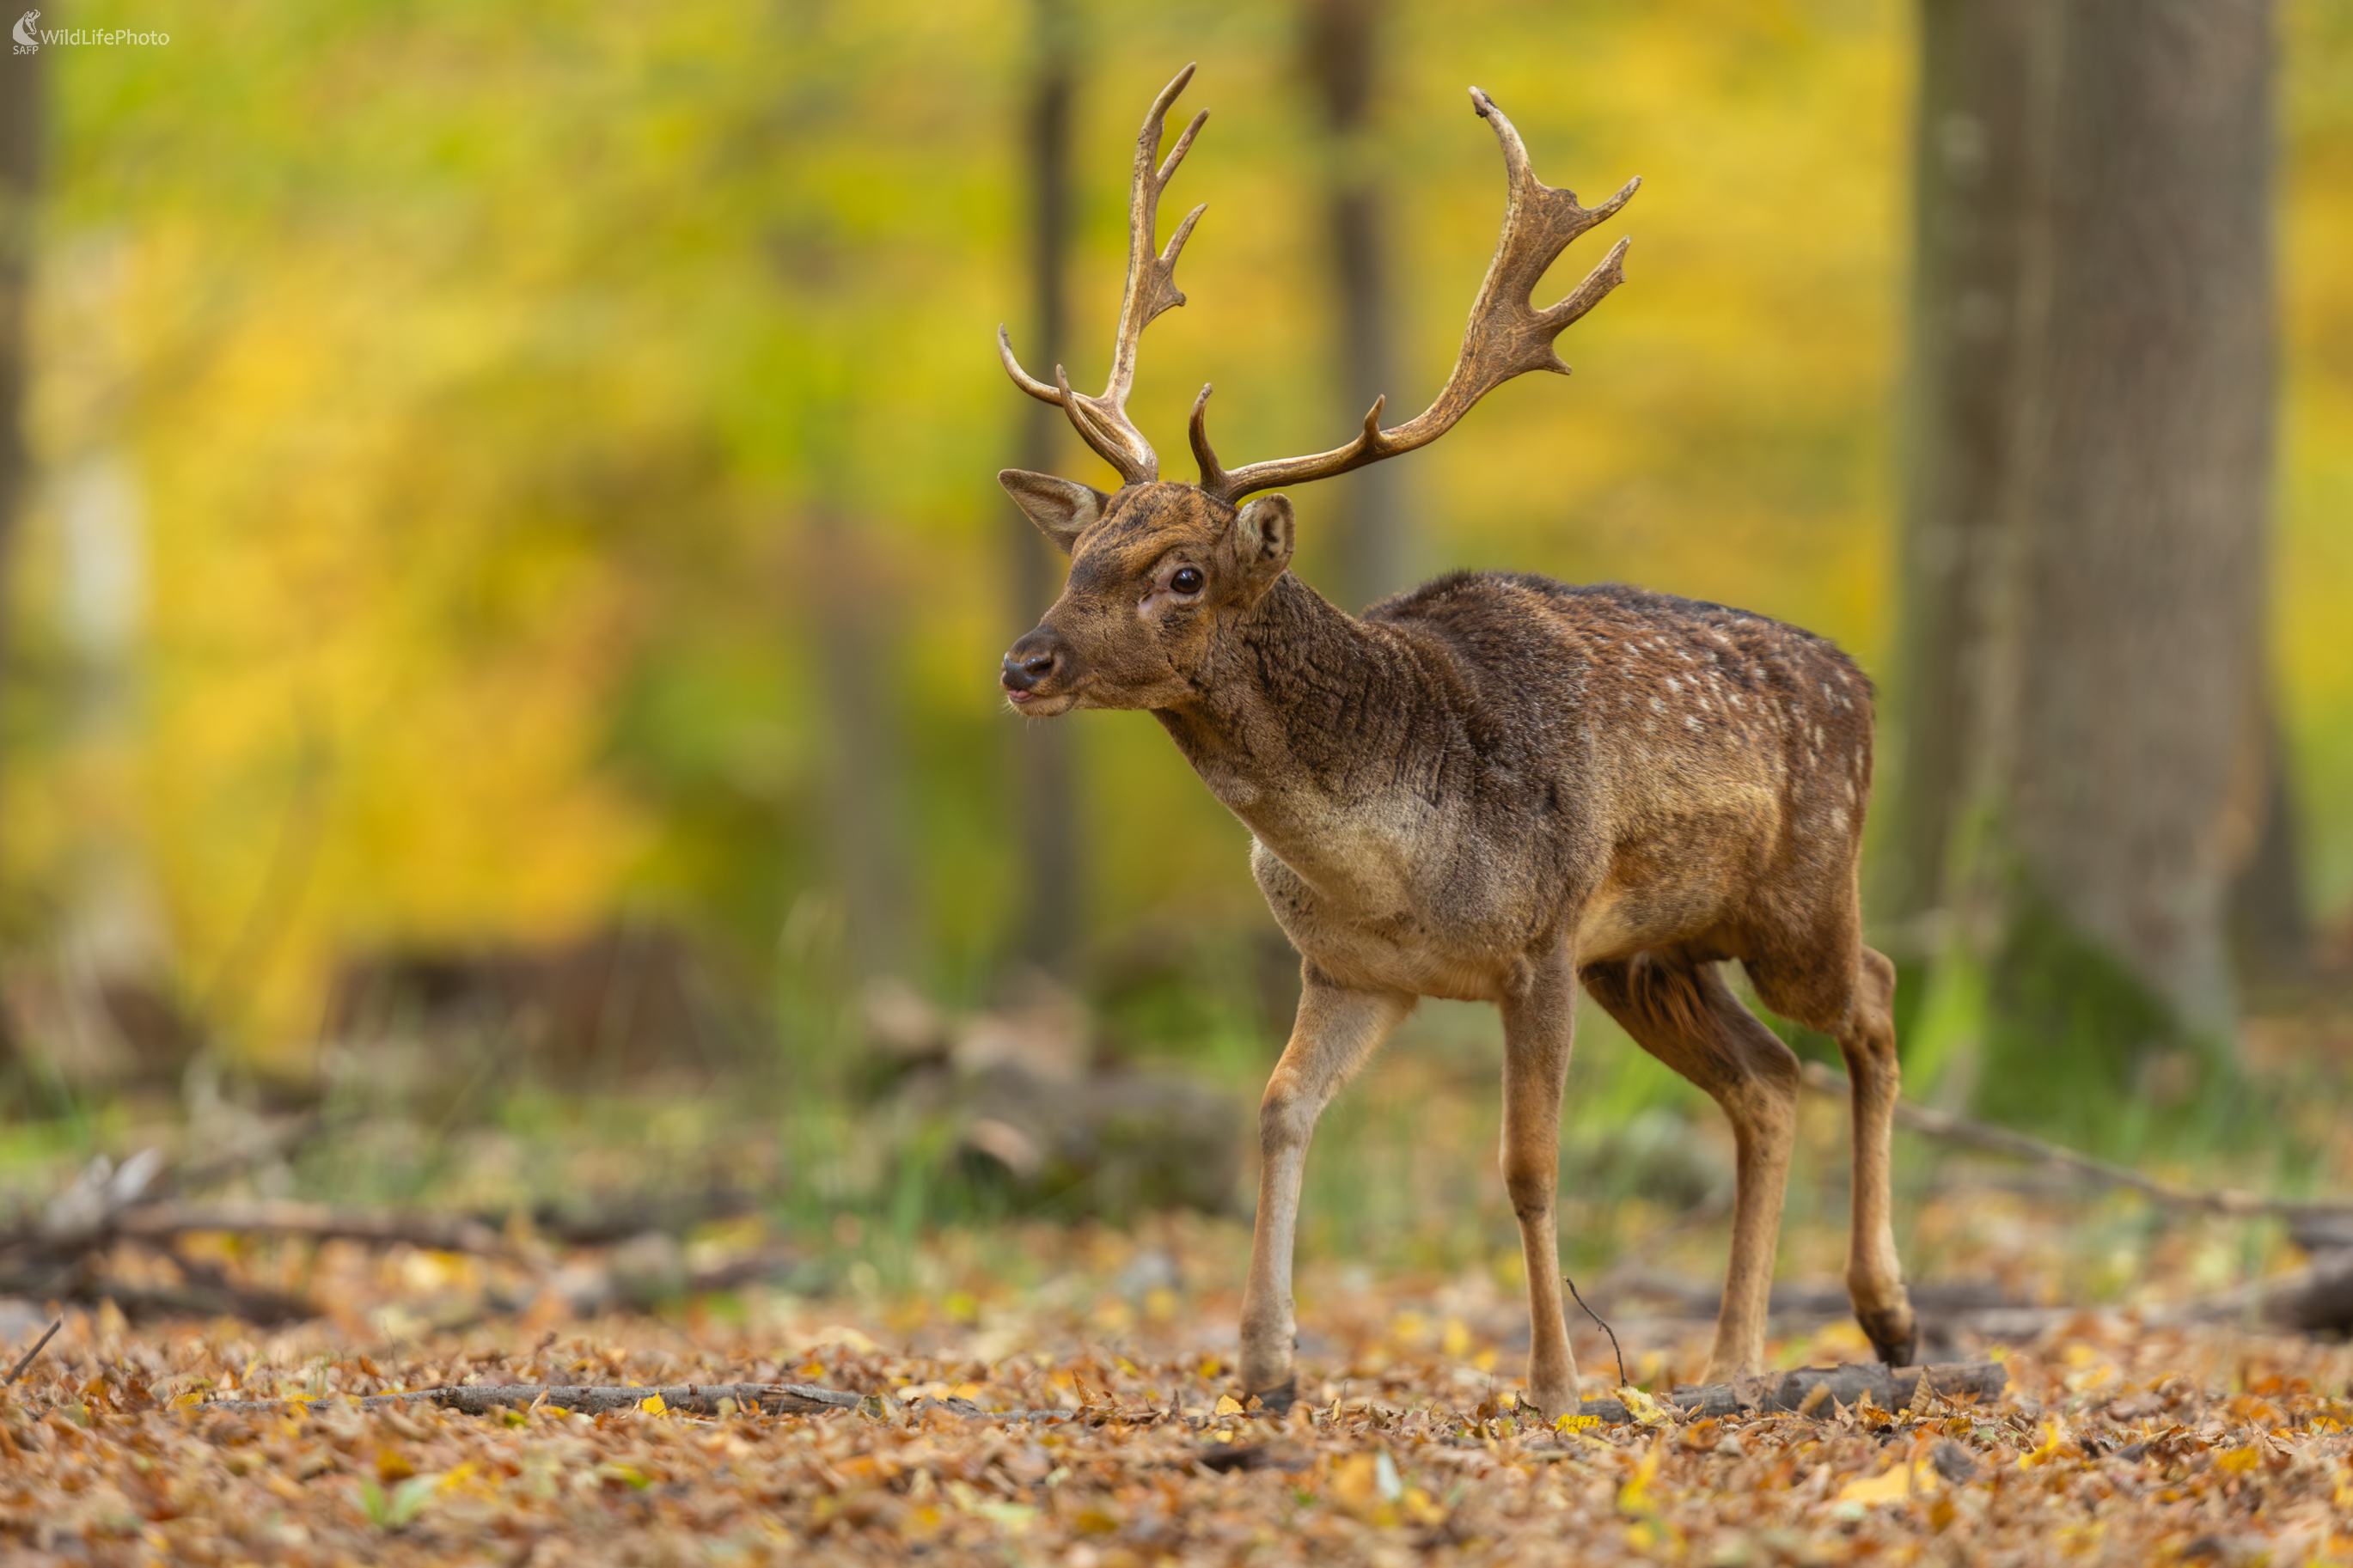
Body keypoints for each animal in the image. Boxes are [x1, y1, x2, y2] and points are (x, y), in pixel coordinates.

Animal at [994, 65, 1916, 1418]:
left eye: (1181, 574)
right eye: (1080, 555)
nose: (1025, 664)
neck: (1384, 867)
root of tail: (1860, 680)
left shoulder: (1536, 947)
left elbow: (1526, 1164)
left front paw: (1553, 1380)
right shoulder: (1356, 972)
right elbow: (1277, 1110)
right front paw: (1263, 1366)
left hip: (1793, 899)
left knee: (1874, 1003)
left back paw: (1886, 1314)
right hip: (1649, 955)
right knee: (1765, 1080)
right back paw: (1732, 1361)